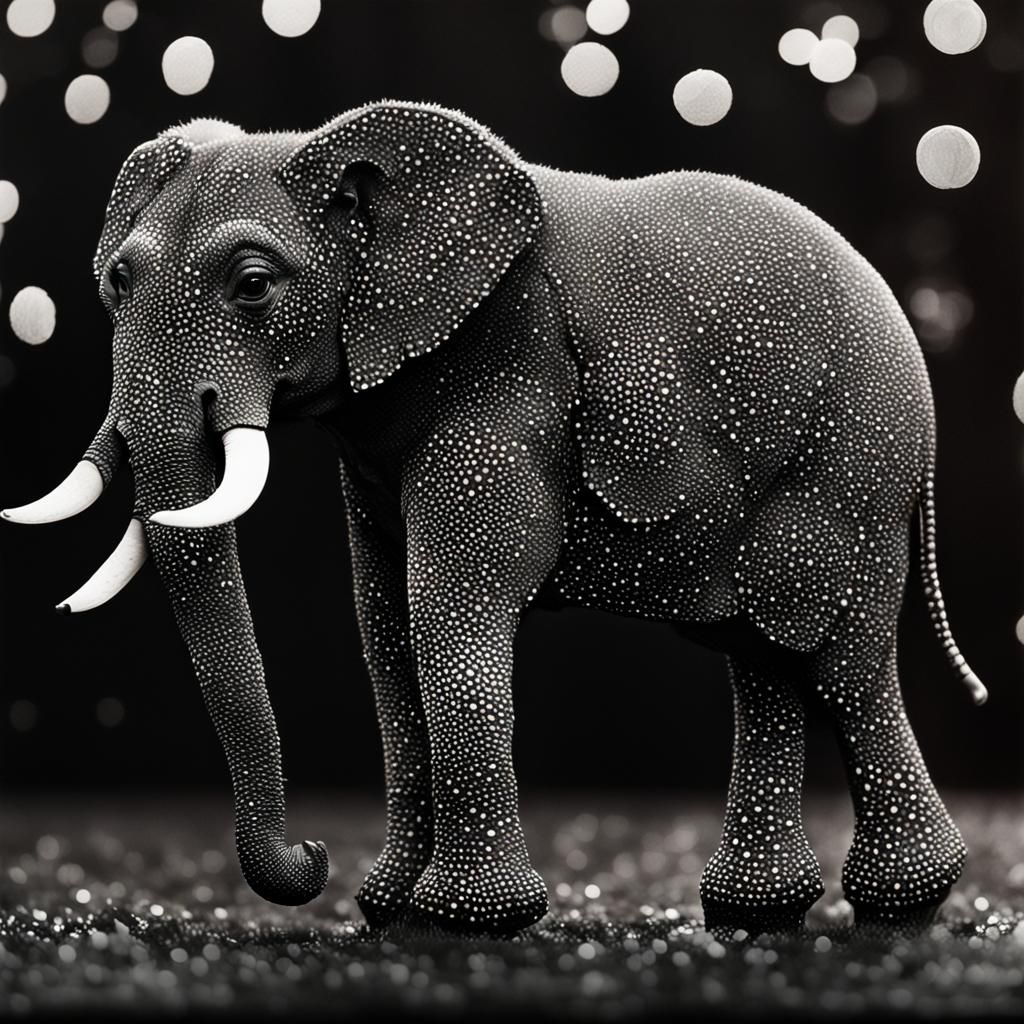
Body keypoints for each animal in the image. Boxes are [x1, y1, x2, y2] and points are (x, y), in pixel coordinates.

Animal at [3, 102, 986, 934]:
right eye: (119, 279)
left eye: (252, 285)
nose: (311, 857)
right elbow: (387, 636)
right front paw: (388, 910)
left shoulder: (512, 375)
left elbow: (450, 621)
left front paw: (465, 921)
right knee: (764, 661)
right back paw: (755, 913)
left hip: (854, 463)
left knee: (836, 662)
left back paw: (902, 905)